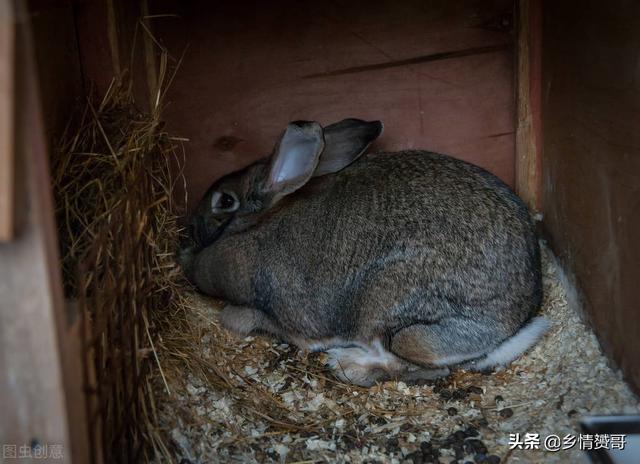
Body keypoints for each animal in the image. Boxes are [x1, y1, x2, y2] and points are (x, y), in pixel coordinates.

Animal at [181, 118, 552, 386]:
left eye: (224, 200)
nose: (191, 223)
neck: (258, 223)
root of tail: (514, 323)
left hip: (391, 312)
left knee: (418, 364)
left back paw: (346, 364)